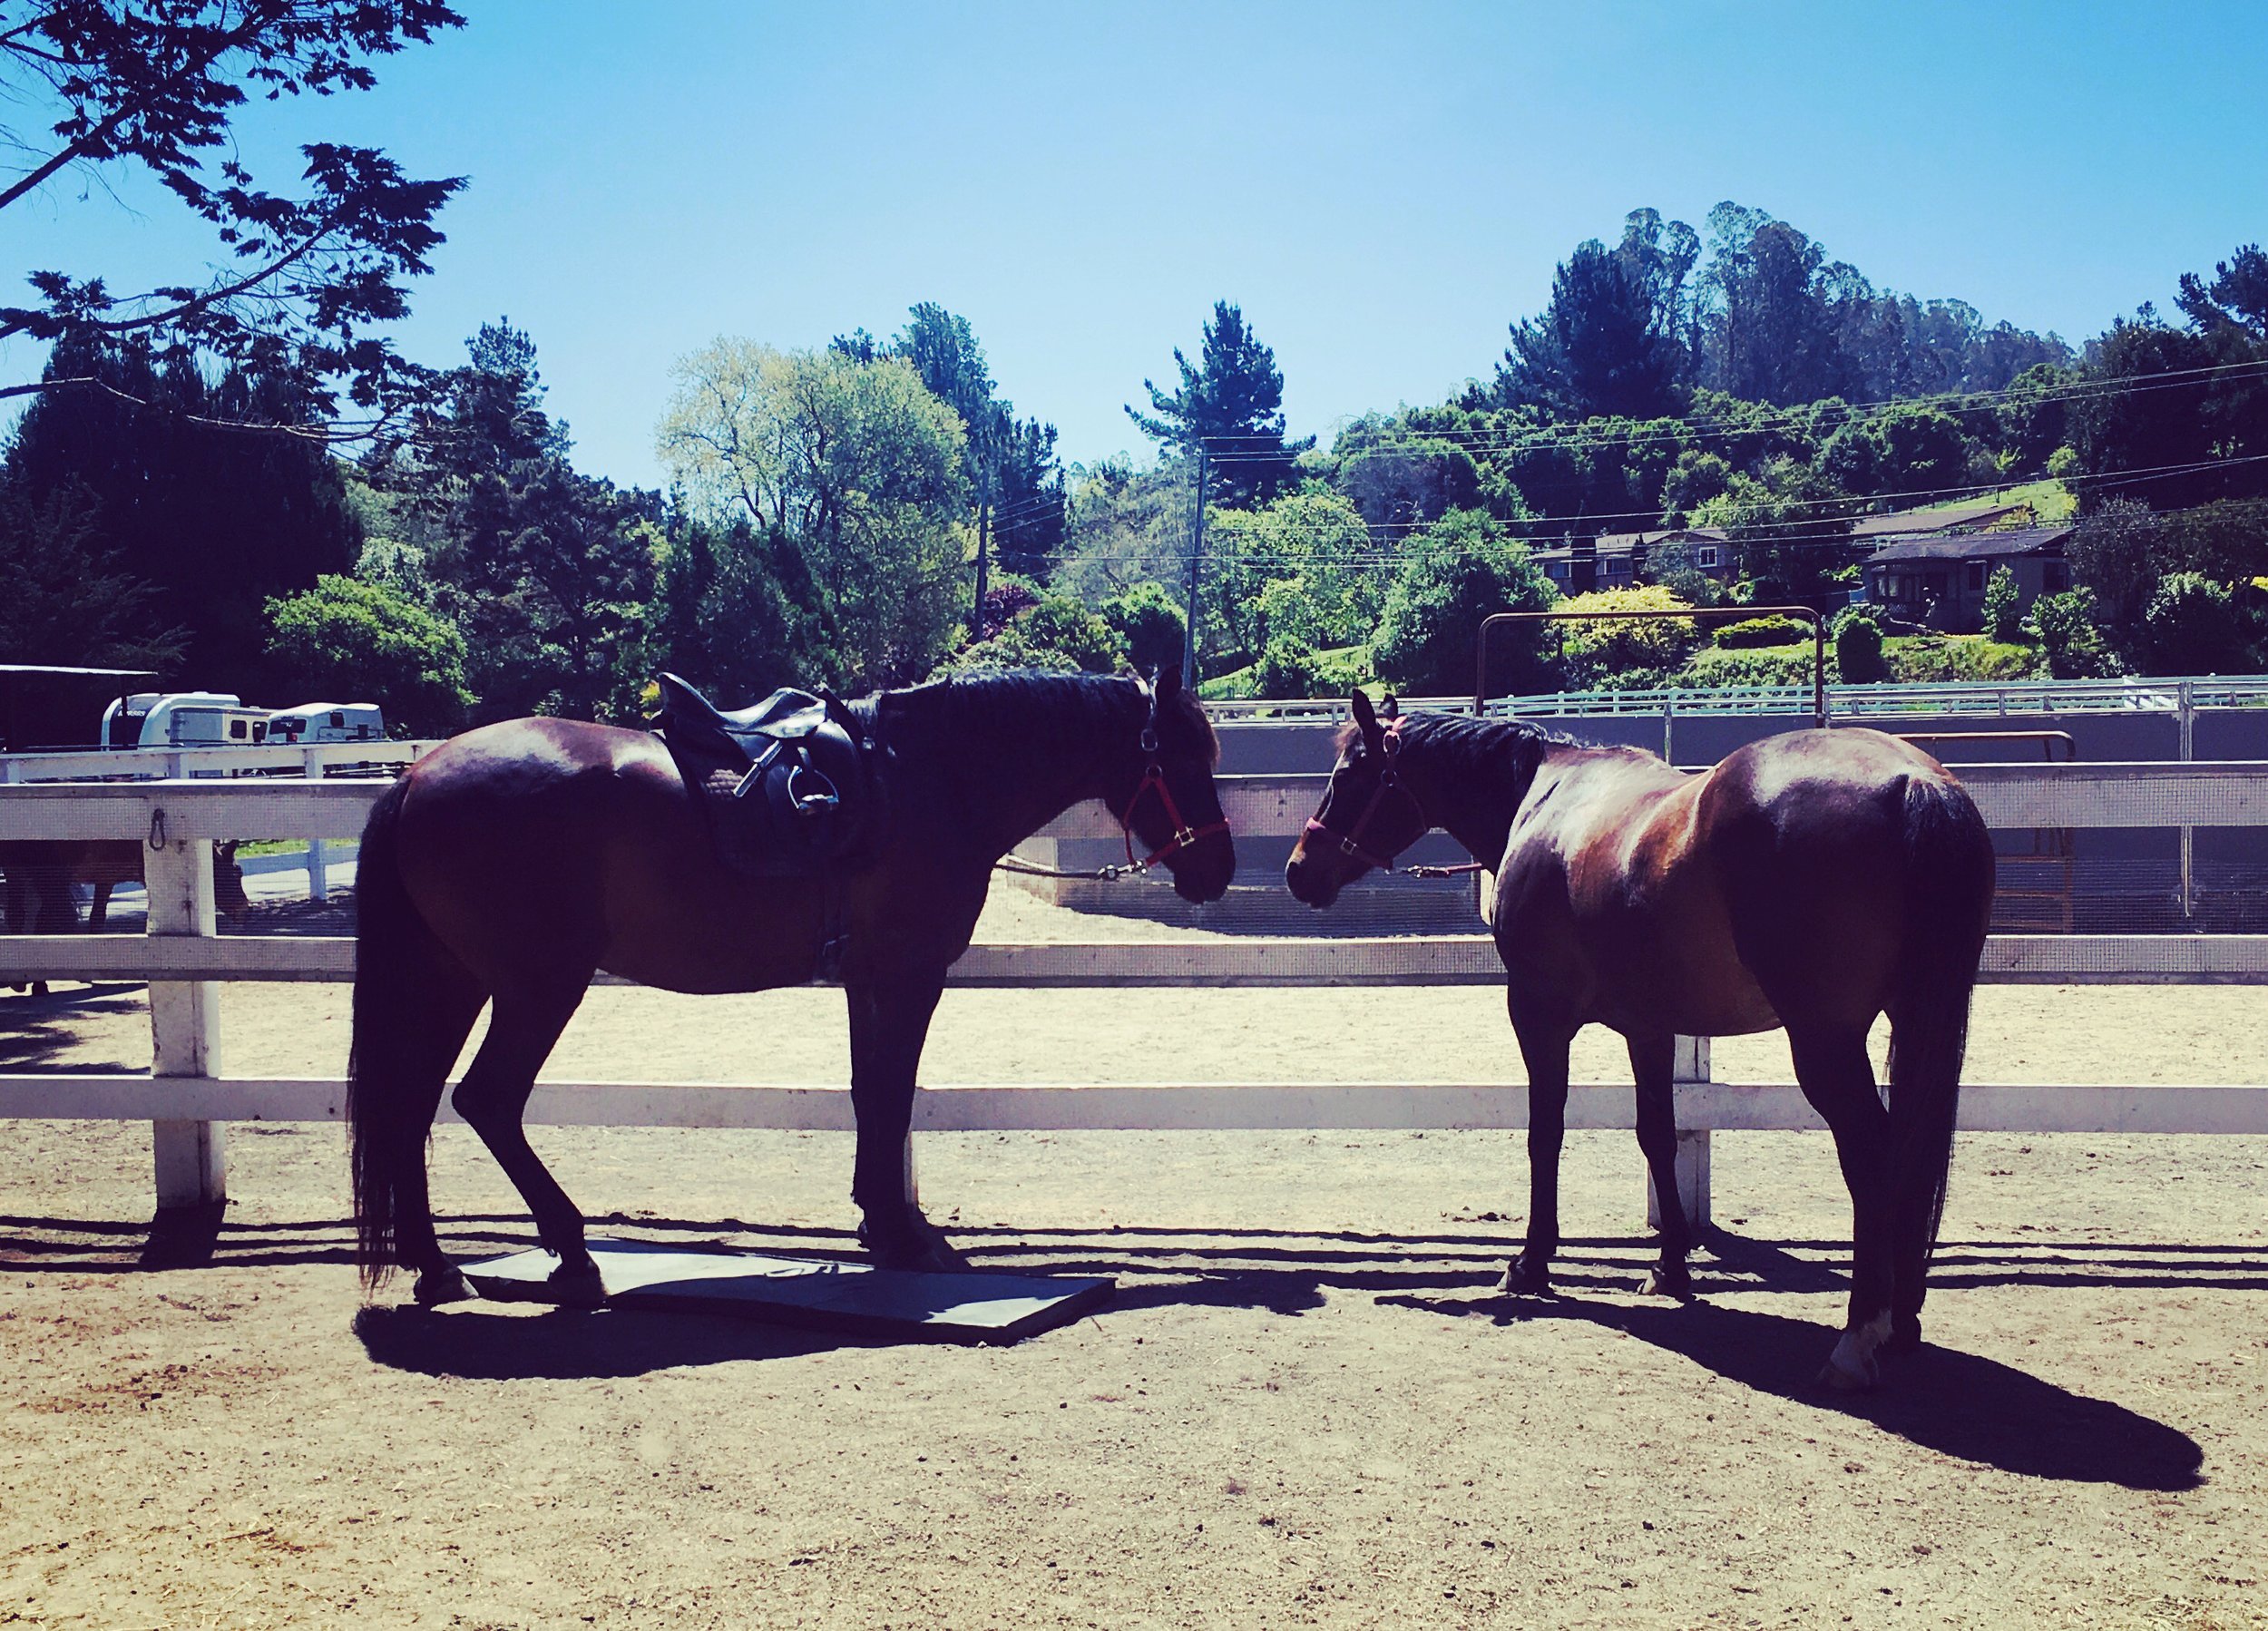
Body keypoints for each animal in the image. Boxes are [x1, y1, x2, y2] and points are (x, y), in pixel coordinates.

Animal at [348, 668, 1235, 1306]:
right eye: (1183, 758)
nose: (1217, 870)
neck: (925, 782)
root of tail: (416, 776)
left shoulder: (867, 982)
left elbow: (869, 1093)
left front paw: (883, 1224)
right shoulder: (909, 978)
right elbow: (892, 1094)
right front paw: (908, 1237)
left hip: (454, 981)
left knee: (411, 1109)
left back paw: (436, 1266)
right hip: (539, 987)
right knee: (489, 1101)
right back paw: (570, 1252)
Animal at [1285, 691, 1994, 1390]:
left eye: (1348, 776)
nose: (1299, 871)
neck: (1544, 796)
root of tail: (1915, 782)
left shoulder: (1538, 1013)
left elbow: (1546, 1133)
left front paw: (1531, 1262)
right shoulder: (1650, 1025)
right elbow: (1657, 1135)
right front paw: (1671, 1265)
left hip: (1825, 1042)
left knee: (1873, 1157)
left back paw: (1859, 1335)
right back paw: (1901, 1321)